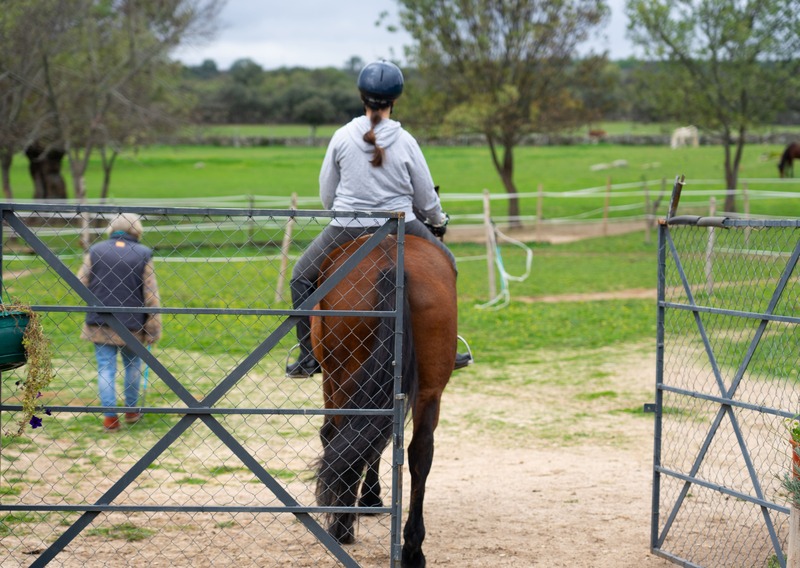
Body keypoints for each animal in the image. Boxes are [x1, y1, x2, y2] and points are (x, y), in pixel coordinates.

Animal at [310, 233, 456, 564]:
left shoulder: (331, 382)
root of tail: (390, 262)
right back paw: (413, 548)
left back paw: (341, 528)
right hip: (430, 390)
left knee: (343, 438)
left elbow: (332, 436)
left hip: (344, 379)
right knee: (420, 453)